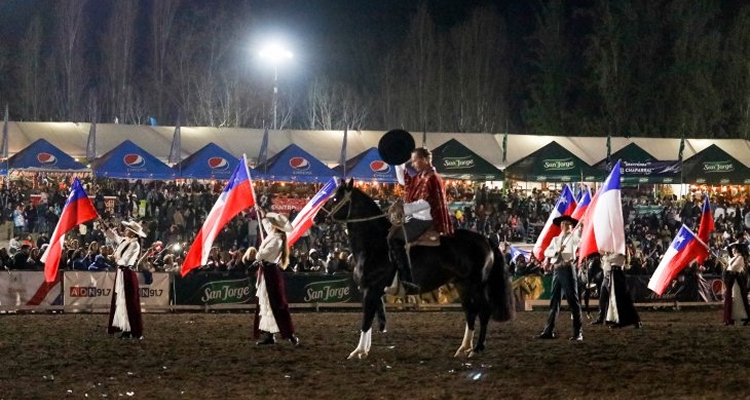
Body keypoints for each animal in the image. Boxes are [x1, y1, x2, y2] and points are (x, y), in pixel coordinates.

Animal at [318, 181, 516, 360]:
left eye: (335, 198)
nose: (317, 218)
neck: (374, 244)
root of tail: (486, 239)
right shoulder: (373, 291)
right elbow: (373, 317)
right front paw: (364, 350)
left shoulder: (372, 289)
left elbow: (366, 320)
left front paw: (358, 352)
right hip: (462, 285)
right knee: (470, 312)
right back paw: (463, 348)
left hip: (476, 284)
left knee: (484, 312)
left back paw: (477, 348)